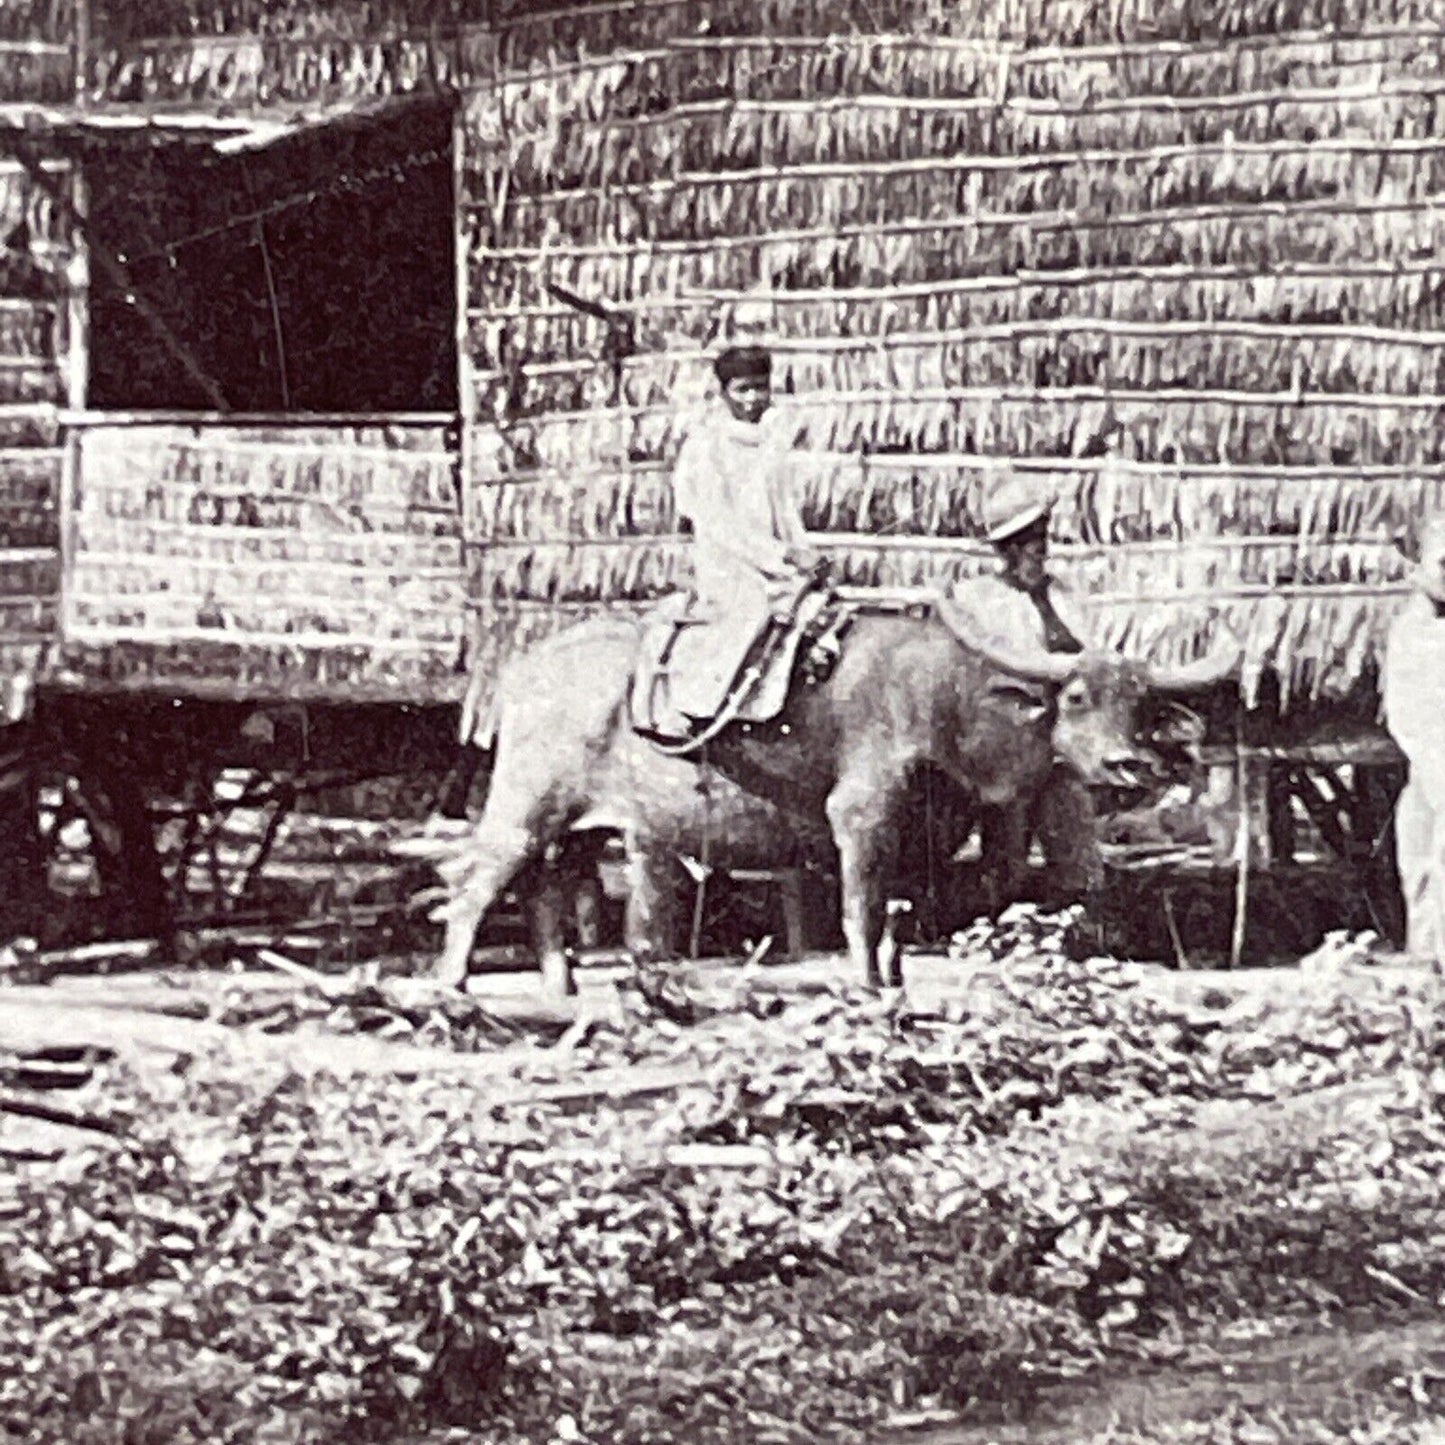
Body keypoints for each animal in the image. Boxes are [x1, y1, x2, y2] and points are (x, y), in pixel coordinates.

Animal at [413, 598, 1236, 994]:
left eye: (1140, 704)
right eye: (1076, 696)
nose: (1128, 765)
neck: (944, 698)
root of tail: (521, 669)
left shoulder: (925, 833)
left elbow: (899, 912)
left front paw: (896, 982)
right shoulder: (860, 817)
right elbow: (859, 907)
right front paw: (866, 984)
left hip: (577, 826)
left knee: (546, 885)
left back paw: (562, 985)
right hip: (523, 805)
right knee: (477, 882)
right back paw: (452, 984)